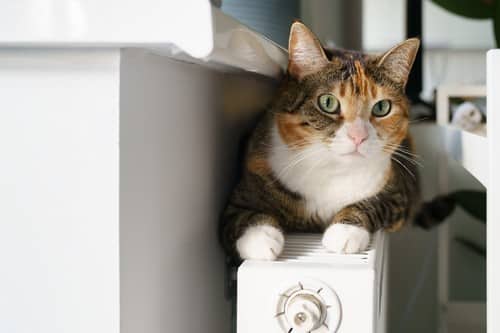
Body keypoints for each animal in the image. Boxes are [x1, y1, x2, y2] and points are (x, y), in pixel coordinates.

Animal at [221, 21, 420, 260]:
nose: (358, 136)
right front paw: (260, 239)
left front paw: (345, 231)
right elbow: (241, 214)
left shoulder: (399, 192)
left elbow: (373, 203)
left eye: (382, 107)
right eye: (327, 102)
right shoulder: (248, 182)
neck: (331, 170)